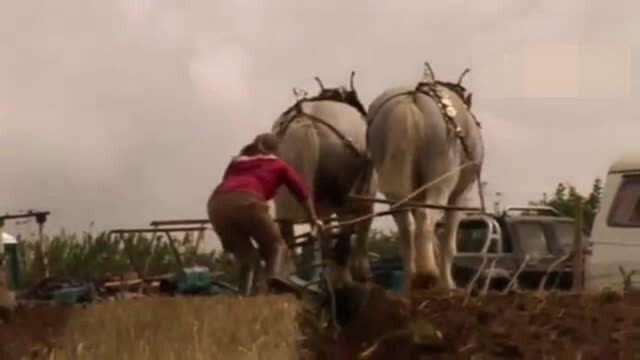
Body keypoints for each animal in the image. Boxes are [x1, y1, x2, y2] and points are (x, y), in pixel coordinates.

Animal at [272, 73, 378, 286]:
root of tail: (304, 119)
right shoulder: (366, 203)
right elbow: (360, 236)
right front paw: (361, 276)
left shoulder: (323, 207)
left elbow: (327, 235)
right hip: (346, 197)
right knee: (345, 234)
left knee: (287, 233)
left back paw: (287, 279)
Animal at [364, 66, 484, 292]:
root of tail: (412, 98)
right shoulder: (459, 196)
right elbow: (448, 242)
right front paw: (448, 284)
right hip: (441, 179)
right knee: (427, 217)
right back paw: (427, 275)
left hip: (398, 192)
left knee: (406, 229)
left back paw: (410, 282)